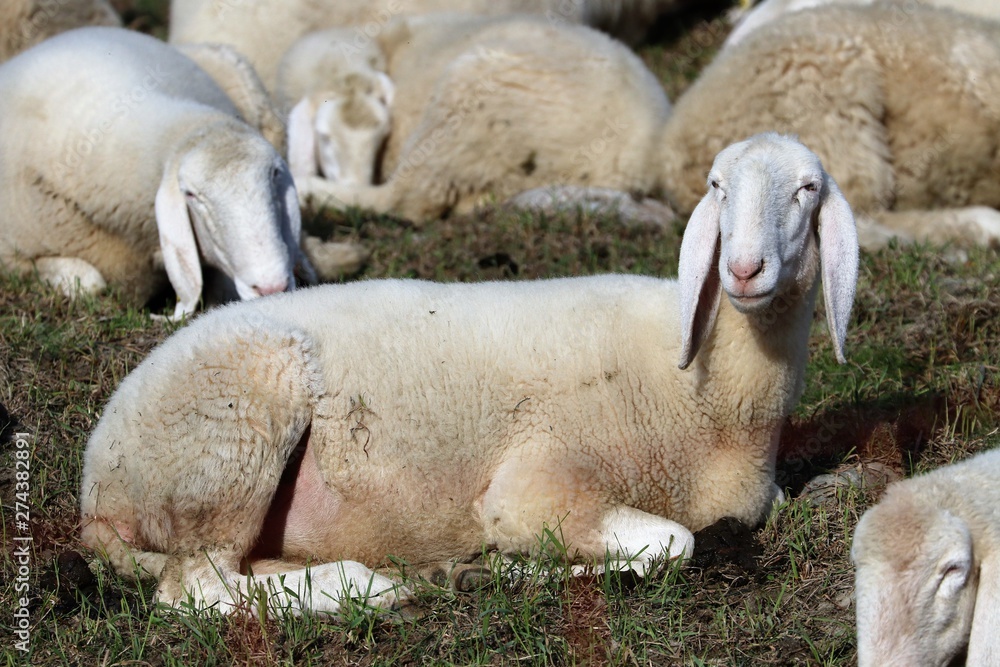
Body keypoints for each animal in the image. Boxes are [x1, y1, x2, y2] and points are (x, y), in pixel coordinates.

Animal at [79, 132, 860, 616]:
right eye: (718, 186)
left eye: (807, 188)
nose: (744, 269)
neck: (717, 398)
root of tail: (95, 484)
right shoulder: (537, 484)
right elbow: (675, 541)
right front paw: (501, 565)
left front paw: (486, 568)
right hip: (231, 437)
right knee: (195, 589)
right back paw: (370, 587)